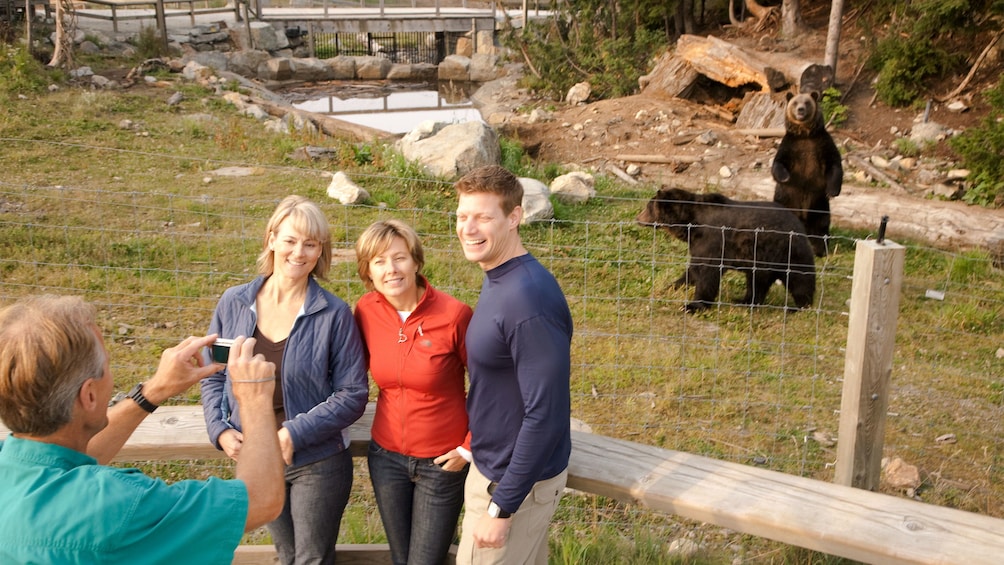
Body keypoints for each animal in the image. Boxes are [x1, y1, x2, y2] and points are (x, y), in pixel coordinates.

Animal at [638, 188, 819, 313]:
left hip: (786, 250)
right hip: (762, 260)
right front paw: (672, 286)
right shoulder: (698, 244)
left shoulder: (713, 240)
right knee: (757, 282)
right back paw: (743, 301)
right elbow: (693, 270)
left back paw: (799, 306)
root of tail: (799, 223)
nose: (638, 218)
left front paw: (693, 306)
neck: (692, 225)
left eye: (648, 207)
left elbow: (707, 274)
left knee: (800, 279)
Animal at [771, 90, 843, 256]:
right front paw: (785, 176)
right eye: (795, 103)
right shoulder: (791, 146)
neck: (805, 134)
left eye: (807, 102)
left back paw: (820, 250)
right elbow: (778, 163)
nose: (800, 110)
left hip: (819, 203)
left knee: (820, 224)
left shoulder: (822, 144)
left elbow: (835, 164)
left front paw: (833, 191)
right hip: (786, 200)